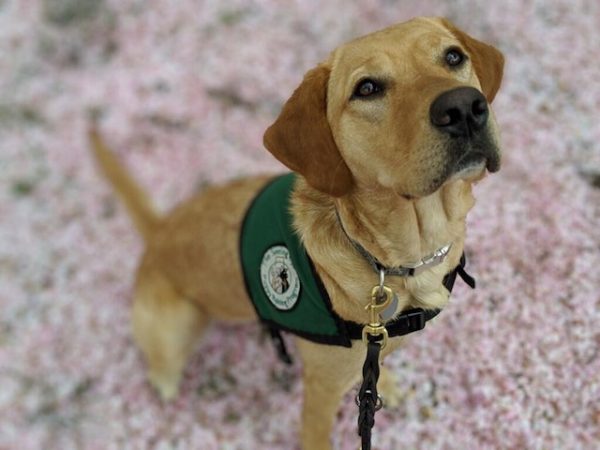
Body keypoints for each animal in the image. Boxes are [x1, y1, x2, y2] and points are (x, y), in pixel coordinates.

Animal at [91, 15, 504, 448]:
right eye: (367, 88)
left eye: (453, 56)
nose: (463, 107)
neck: (391, 256)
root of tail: (160, 229)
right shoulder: (322, 389)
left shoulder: (372, 349)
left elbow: (371, 372)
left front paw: (385, 383)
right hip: (174, 330)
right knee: (163, 372)